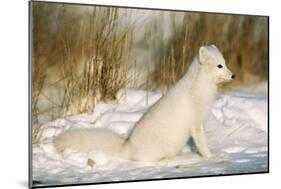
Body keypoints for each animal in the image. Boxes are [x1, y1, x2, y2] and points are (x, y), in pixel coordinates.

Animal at [53, 45, 233, 162]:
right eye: (219, 66)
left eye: (225, 63)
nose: (233, 76)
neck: (200, 86)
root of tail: (129, 147)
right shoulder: (196, 124)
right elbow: (202, 144)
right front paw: (210, 157)